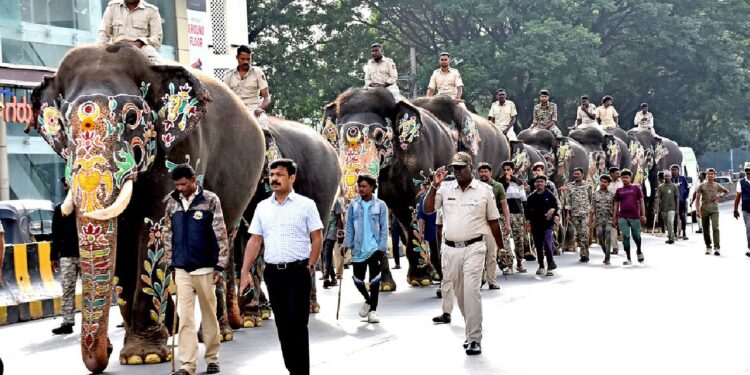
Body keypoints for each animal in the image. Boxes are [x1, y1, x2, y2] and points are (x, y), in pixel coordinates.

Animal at [30, 45, 266, 374]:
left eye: (131, 118)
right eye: (63, 126)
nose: (102, 354)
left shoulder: (182, 147)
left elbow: (155, 226)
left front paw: (144, 356)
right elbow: (125, 242)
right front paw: (140, 351)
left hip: (241, 187)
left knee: (223, 244)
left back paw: (217, 334)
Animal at [320, 88, 456, 288]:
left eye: (379, 136)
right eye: (336, 137)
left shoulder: (417, 161)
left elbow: (416, 206)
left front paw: (421, 280)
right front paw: (383, 286)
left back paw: (432, 276)